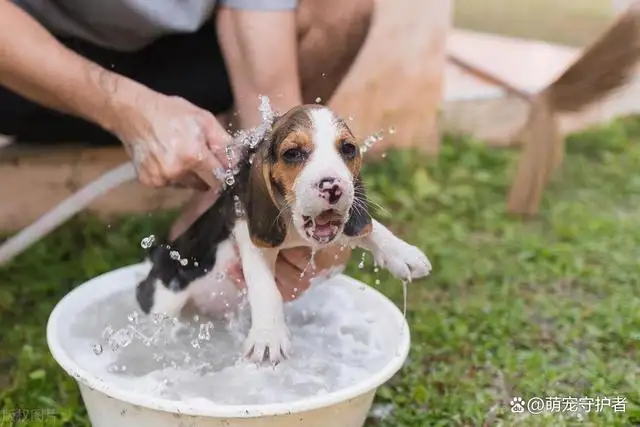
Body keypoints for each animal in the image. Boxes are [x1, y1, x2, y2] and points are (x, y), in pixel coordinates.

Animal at [137, 104, 432, 364]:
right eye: (293, 153)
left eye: (348, 149)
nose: (333, 187)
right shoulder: (249, 236)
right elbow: (266, 288)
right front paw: (269, 337)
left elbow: (371, 229)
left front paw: (403, 254)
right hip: (164, 301)